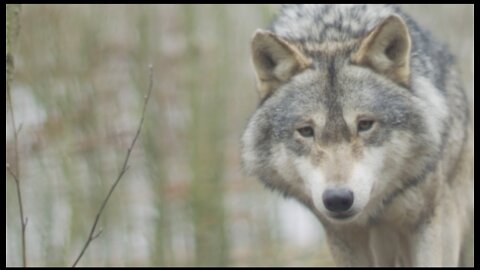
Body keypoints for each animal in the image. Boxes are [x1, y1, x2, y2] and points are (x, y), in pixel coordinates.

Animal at [242, 3, 474, 266]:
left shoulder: (424, 222)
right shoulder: (343, 236)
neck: (332, 36)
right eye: (306, 131)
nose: (338, 199)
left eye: (364, 125)